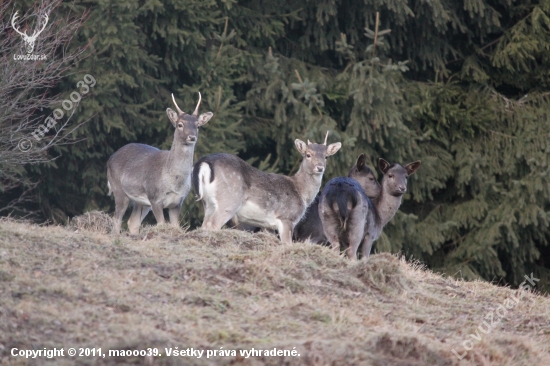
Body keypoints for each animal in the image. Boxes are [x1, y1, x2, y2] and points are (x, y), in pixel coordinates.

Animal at [107, 93, 213, 233]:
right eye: (180, 124)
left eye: (198, 126)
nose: (192, 137)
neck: (174, 182)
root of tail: (110, 158)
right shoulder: (155, 198)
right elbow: (161, 224)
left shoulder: (178, 202)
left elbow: (176, 226)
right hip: (119, 190)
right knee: (117, 220)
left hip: (142, 202)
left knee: (132, 222)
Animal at [192, 132, 342, 243]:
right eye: (308, 154)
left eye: (326, 156)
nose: (320, 167)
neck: (301, 193)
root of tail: (204, 162)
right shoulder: (287, 218)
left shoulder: (268, 225)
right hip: (229, 200)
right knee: (213, 224)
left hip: (208, 203)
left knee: (204, 224)